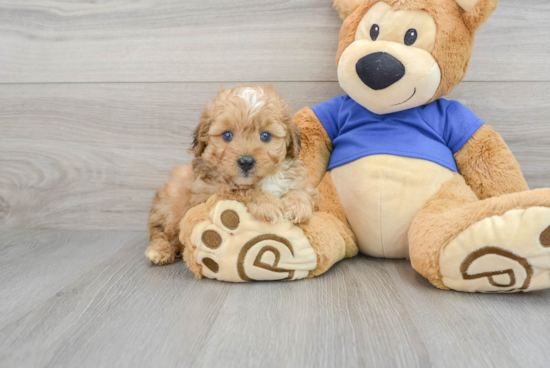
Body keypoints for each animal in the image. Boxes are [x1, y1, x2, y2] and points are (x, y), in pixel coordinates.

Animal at [147, 86, 320, 264]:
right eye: (227, 135)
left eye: (265, 136)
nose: (246, 161)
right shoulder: (207, 194)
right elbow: (239, 192)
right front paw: (267, 203)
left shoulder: (305, 185)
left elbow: (302, 191)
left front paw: (298, 206)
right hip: (171, 211)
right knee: (162, 234)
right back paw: (159, 251)